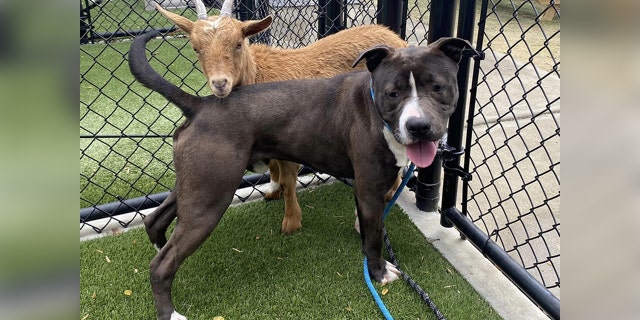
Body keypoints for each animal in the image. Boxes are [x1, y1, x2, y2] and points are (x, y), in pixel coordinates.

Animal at [127, 30, 472, 320]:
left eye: (438, 87)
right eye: (393, 93)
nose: (419, 126)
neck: (374, 106)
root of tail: (201, 105)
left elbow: (367, 226)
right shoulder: (371, 189)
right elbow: (374, 238)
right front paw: (378, 273)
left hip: (195, 186)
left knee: (155, 220)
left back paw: (160, 246)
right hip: (209, 199)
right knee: (162, 264)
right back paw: (170, 312)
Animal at [144, 0, 404, 250]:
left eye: (238, 44)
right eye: (196, 48)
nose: (220, 83)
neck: (258, 74)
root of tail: (395, 37)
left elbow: (289, 181)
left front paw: (291, 222)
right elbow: (274, 170)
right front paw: (273, 191)